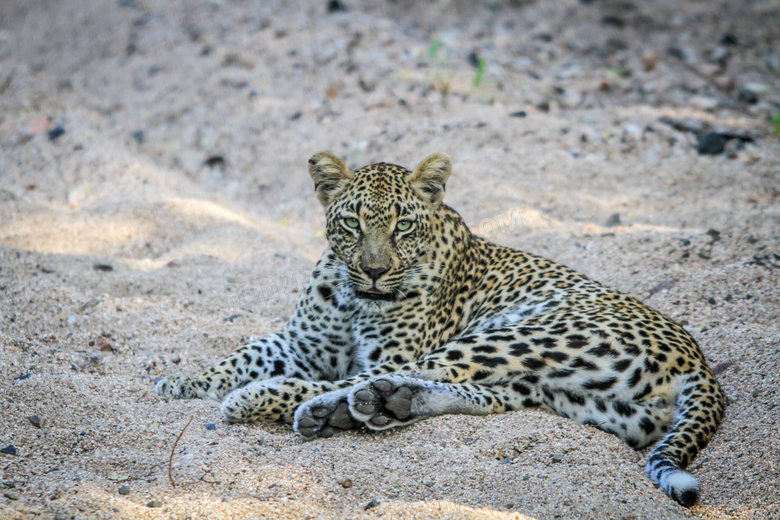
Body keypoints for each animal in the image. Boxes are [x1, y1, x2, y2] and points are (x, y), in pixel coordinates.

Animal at [157, 151, 724, 508]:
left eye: (402, 225)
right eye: (352, 223)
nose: (375, 271)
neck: (352, 296)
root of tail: (698, 360)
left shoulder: (381, 353)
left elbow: (314, 371)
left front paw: (240, 393)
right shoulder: (300, 342)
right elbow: (242, 353)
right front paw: (180, 383)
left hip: (517, 335)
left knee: (369, 380)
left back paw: (302, 406)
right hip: (580, 399)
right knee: (485, 399)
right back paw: (386, 405)